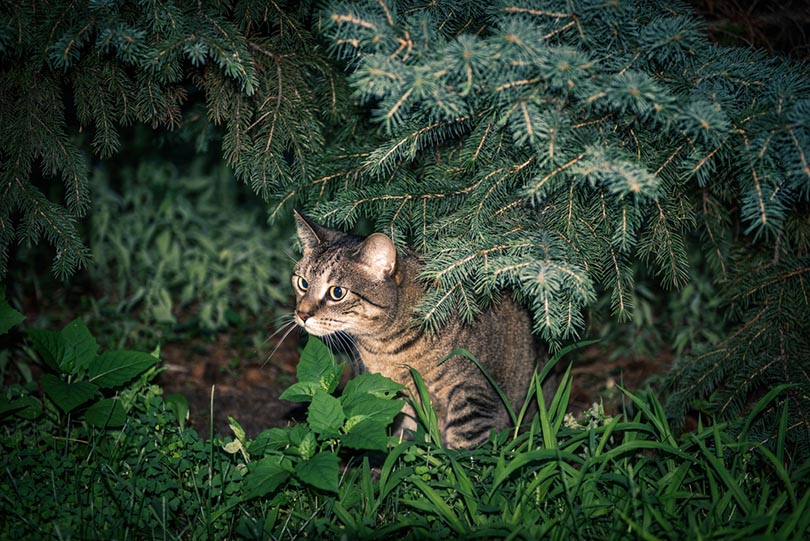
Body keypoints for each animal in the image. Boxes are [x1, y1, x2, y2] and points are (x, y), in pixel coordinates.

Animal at [288, 210, 548, 448]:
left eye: (337, 293)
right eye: (302, 283)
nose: (302, 314)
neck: (385, 348)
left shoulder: (472, 394)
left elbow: (464, 450)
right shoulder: (400, 395)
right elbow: (407, 437)